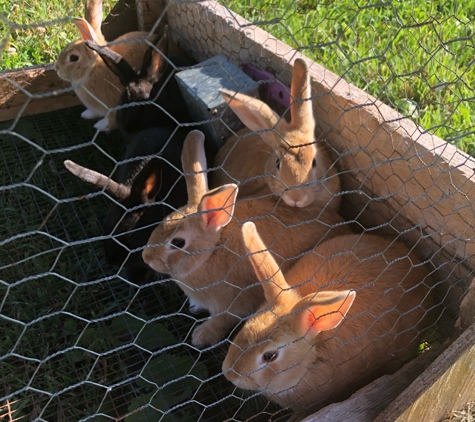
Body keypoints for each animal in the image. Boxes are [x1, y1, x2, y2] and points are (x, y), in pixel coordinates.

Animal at [54, 0, 152, 132]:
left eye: (73, 58)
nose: (57, 68)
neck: (93, 68)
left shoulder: (114, 105)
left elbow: (112, 120)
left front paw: (101, 125)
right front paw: (86, 114)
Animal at [141, 130, 350, 348]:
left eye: (177, 243)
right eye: (162, 222)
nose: (146, 257)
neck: (212, 249)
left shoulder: (229, 305)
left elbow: (221, 321)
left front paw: (201, 336)